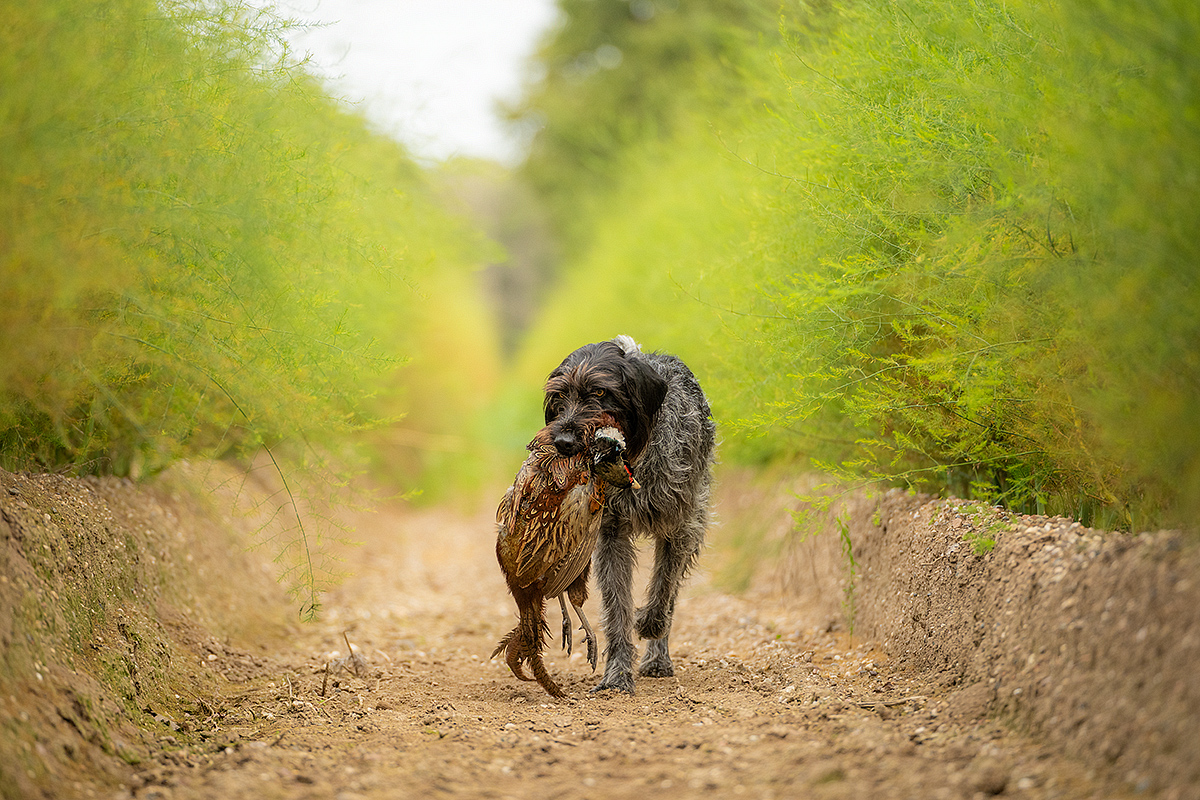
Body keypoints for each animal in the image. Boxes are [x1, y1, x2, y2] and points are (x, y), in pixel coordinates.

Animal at [542, 335, 715, 690]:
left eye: (599, 392)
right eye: (560, 396)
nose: (563, 441)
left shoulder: (680, 526)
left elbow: (664, 588)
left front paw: (648, 623)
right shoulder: (611, 533)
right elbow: (617, 606)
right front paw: (617, 674)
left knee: (670, 591)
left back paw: (658, 656)